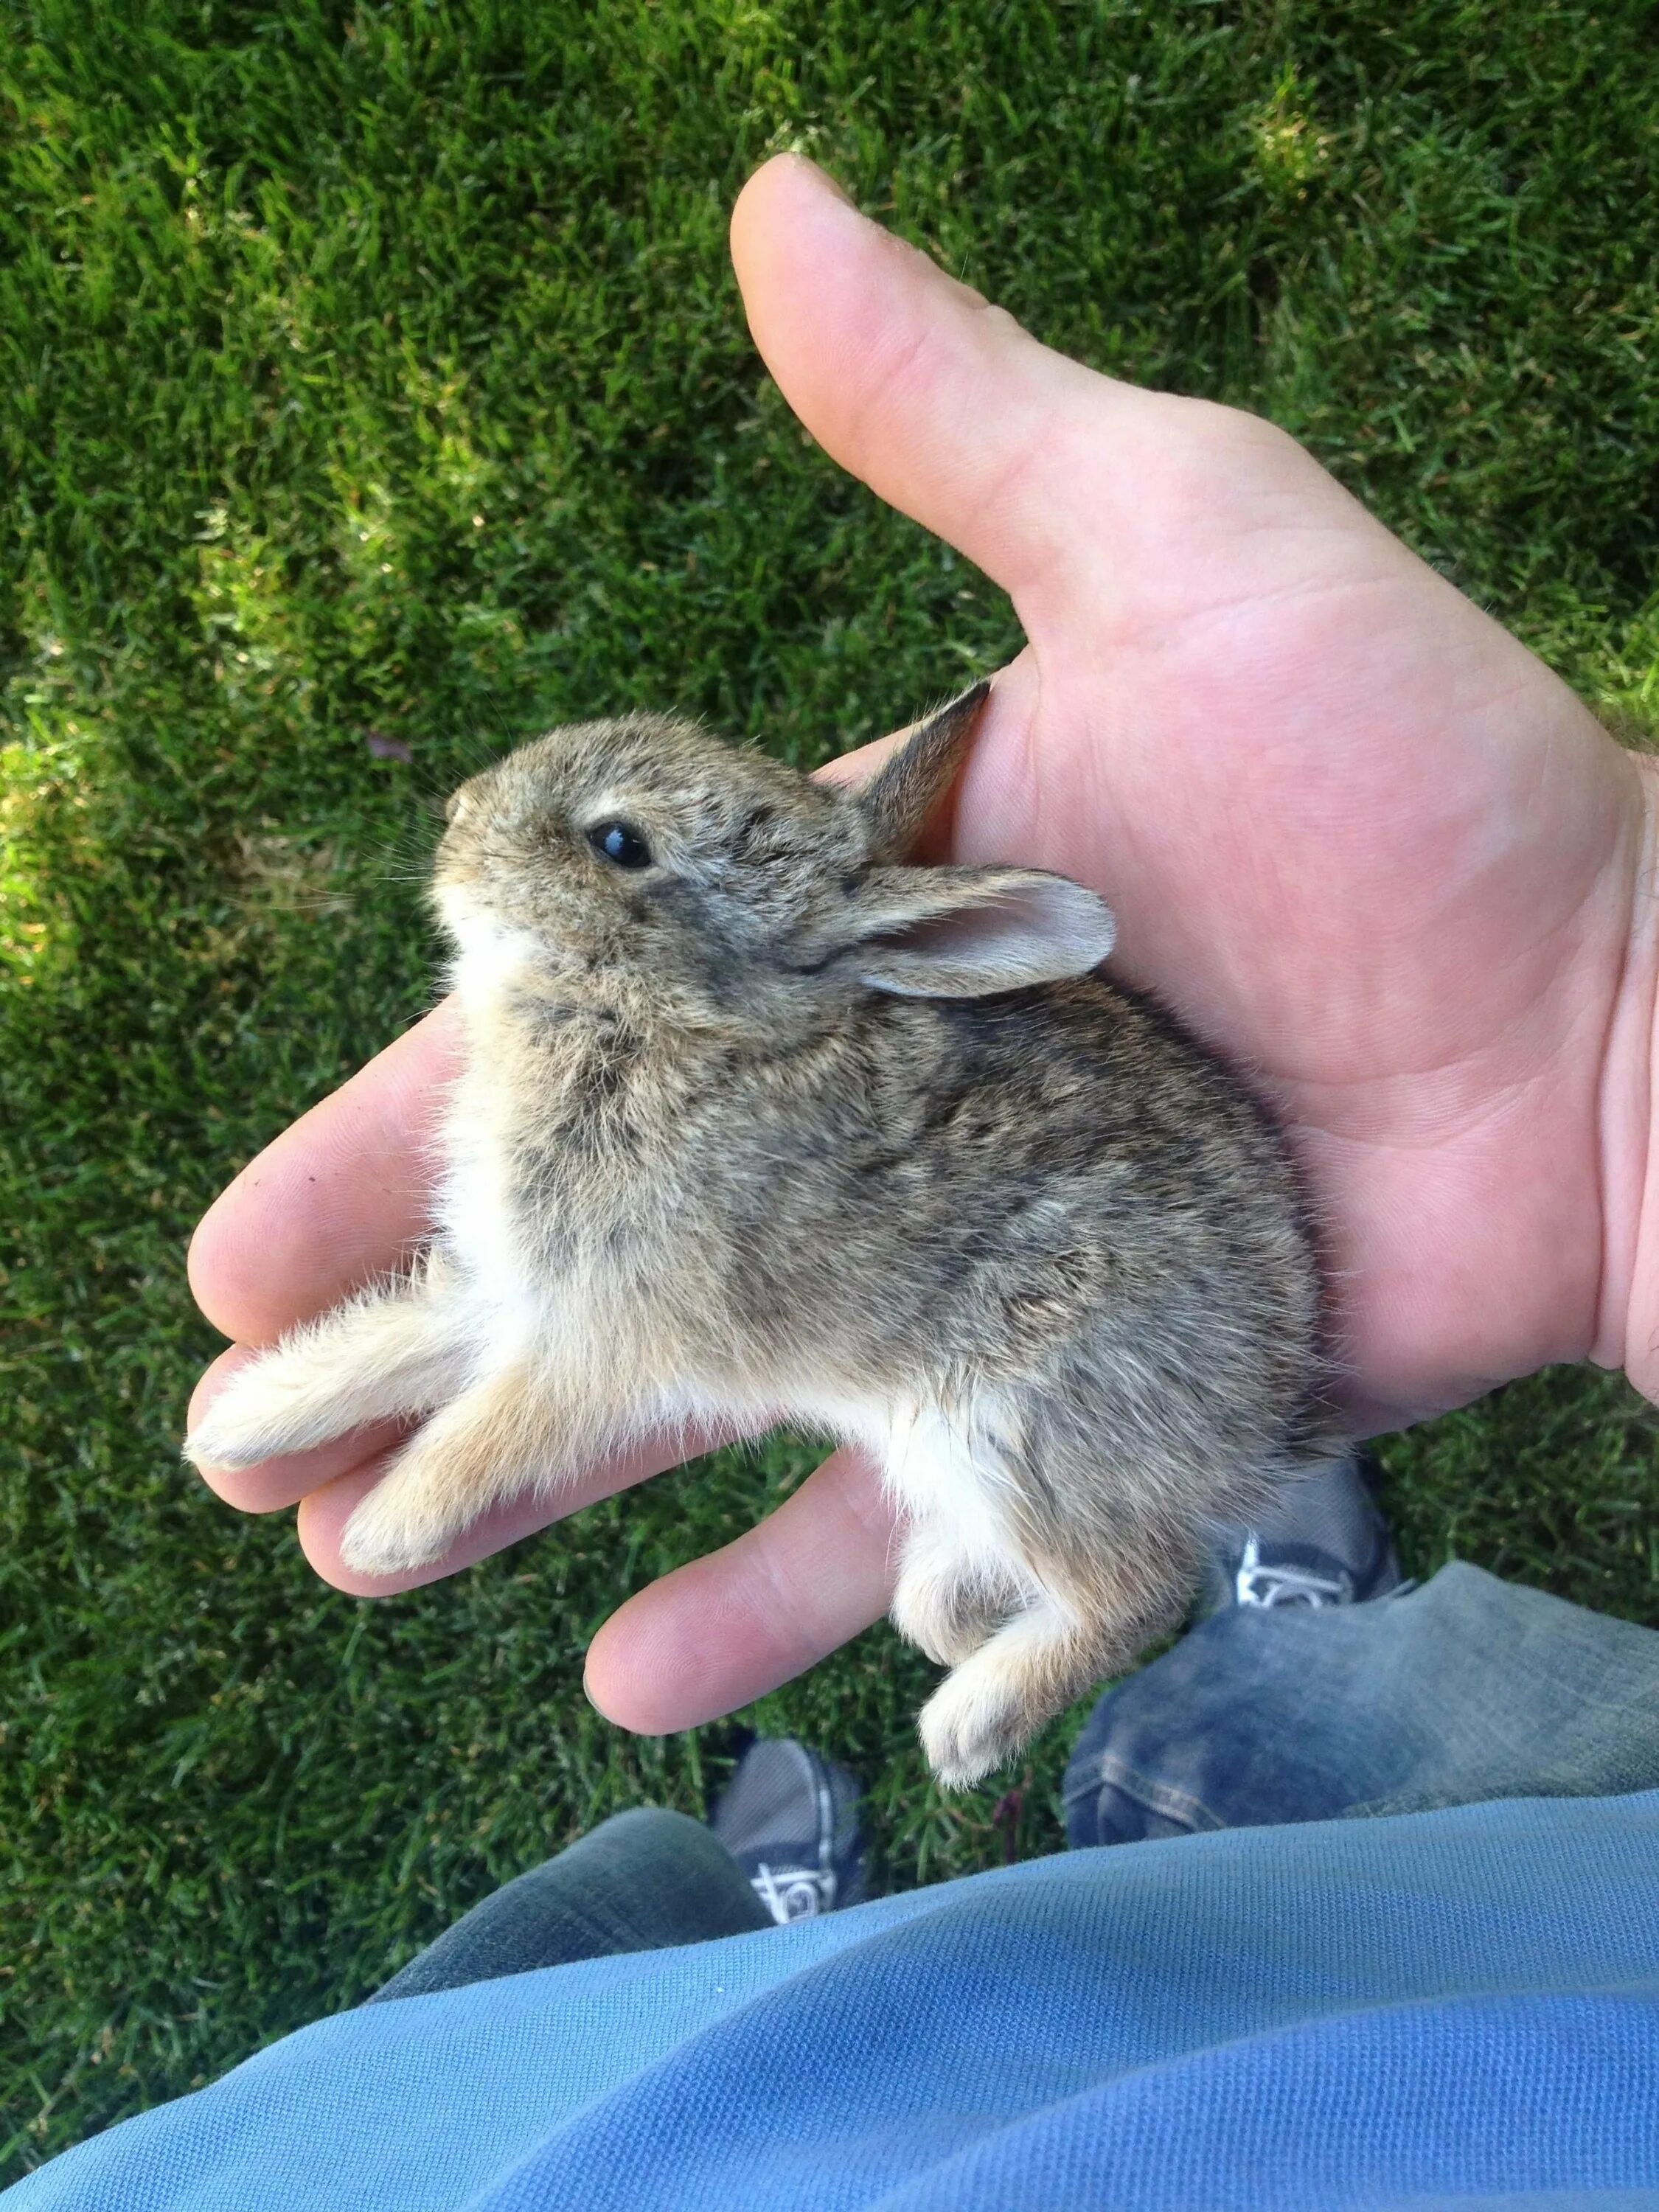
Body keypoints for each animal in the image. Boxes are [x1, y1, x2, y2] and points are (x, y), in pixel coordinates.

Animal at [188, 690, 1345, 1796]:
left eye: (619, 843)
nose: (459, 817)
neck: (680, 1026)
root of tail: (1266, 1414)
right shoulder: (506, 1289)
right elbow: (378, 1352)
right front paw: (235, 1431)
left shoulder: (602, 1338)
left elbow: (493, 1434)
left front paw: (384, 1530)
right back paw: (946, 1615)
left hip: (1020, 1423)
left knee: (1139, 1595)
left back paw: (966, 1726)